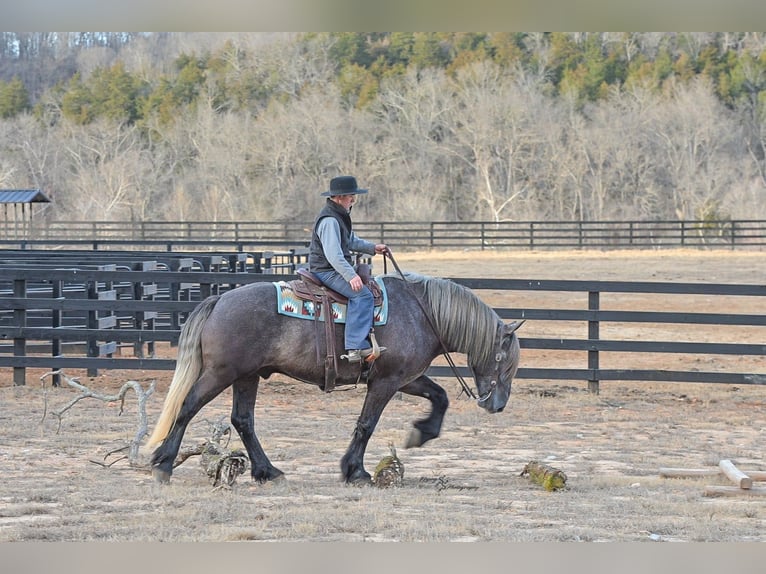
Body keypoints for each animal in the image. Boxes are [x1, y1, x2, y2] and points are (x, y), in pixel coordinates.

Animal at [147, 270, 524, 485]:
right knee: (187, 406)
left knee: (243, 420)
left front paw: (420, 434)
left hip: (247, 376)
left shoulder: (404, 378)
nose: (499, 405)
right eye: (503, 360)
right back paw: (163, 464)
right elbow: (366, 424)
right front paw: (355, 471)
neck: (422, 312)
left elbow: (440, 396)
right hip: (221, 373)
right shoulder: (385, 382)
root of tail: (220, 299)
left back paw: (268, 472)